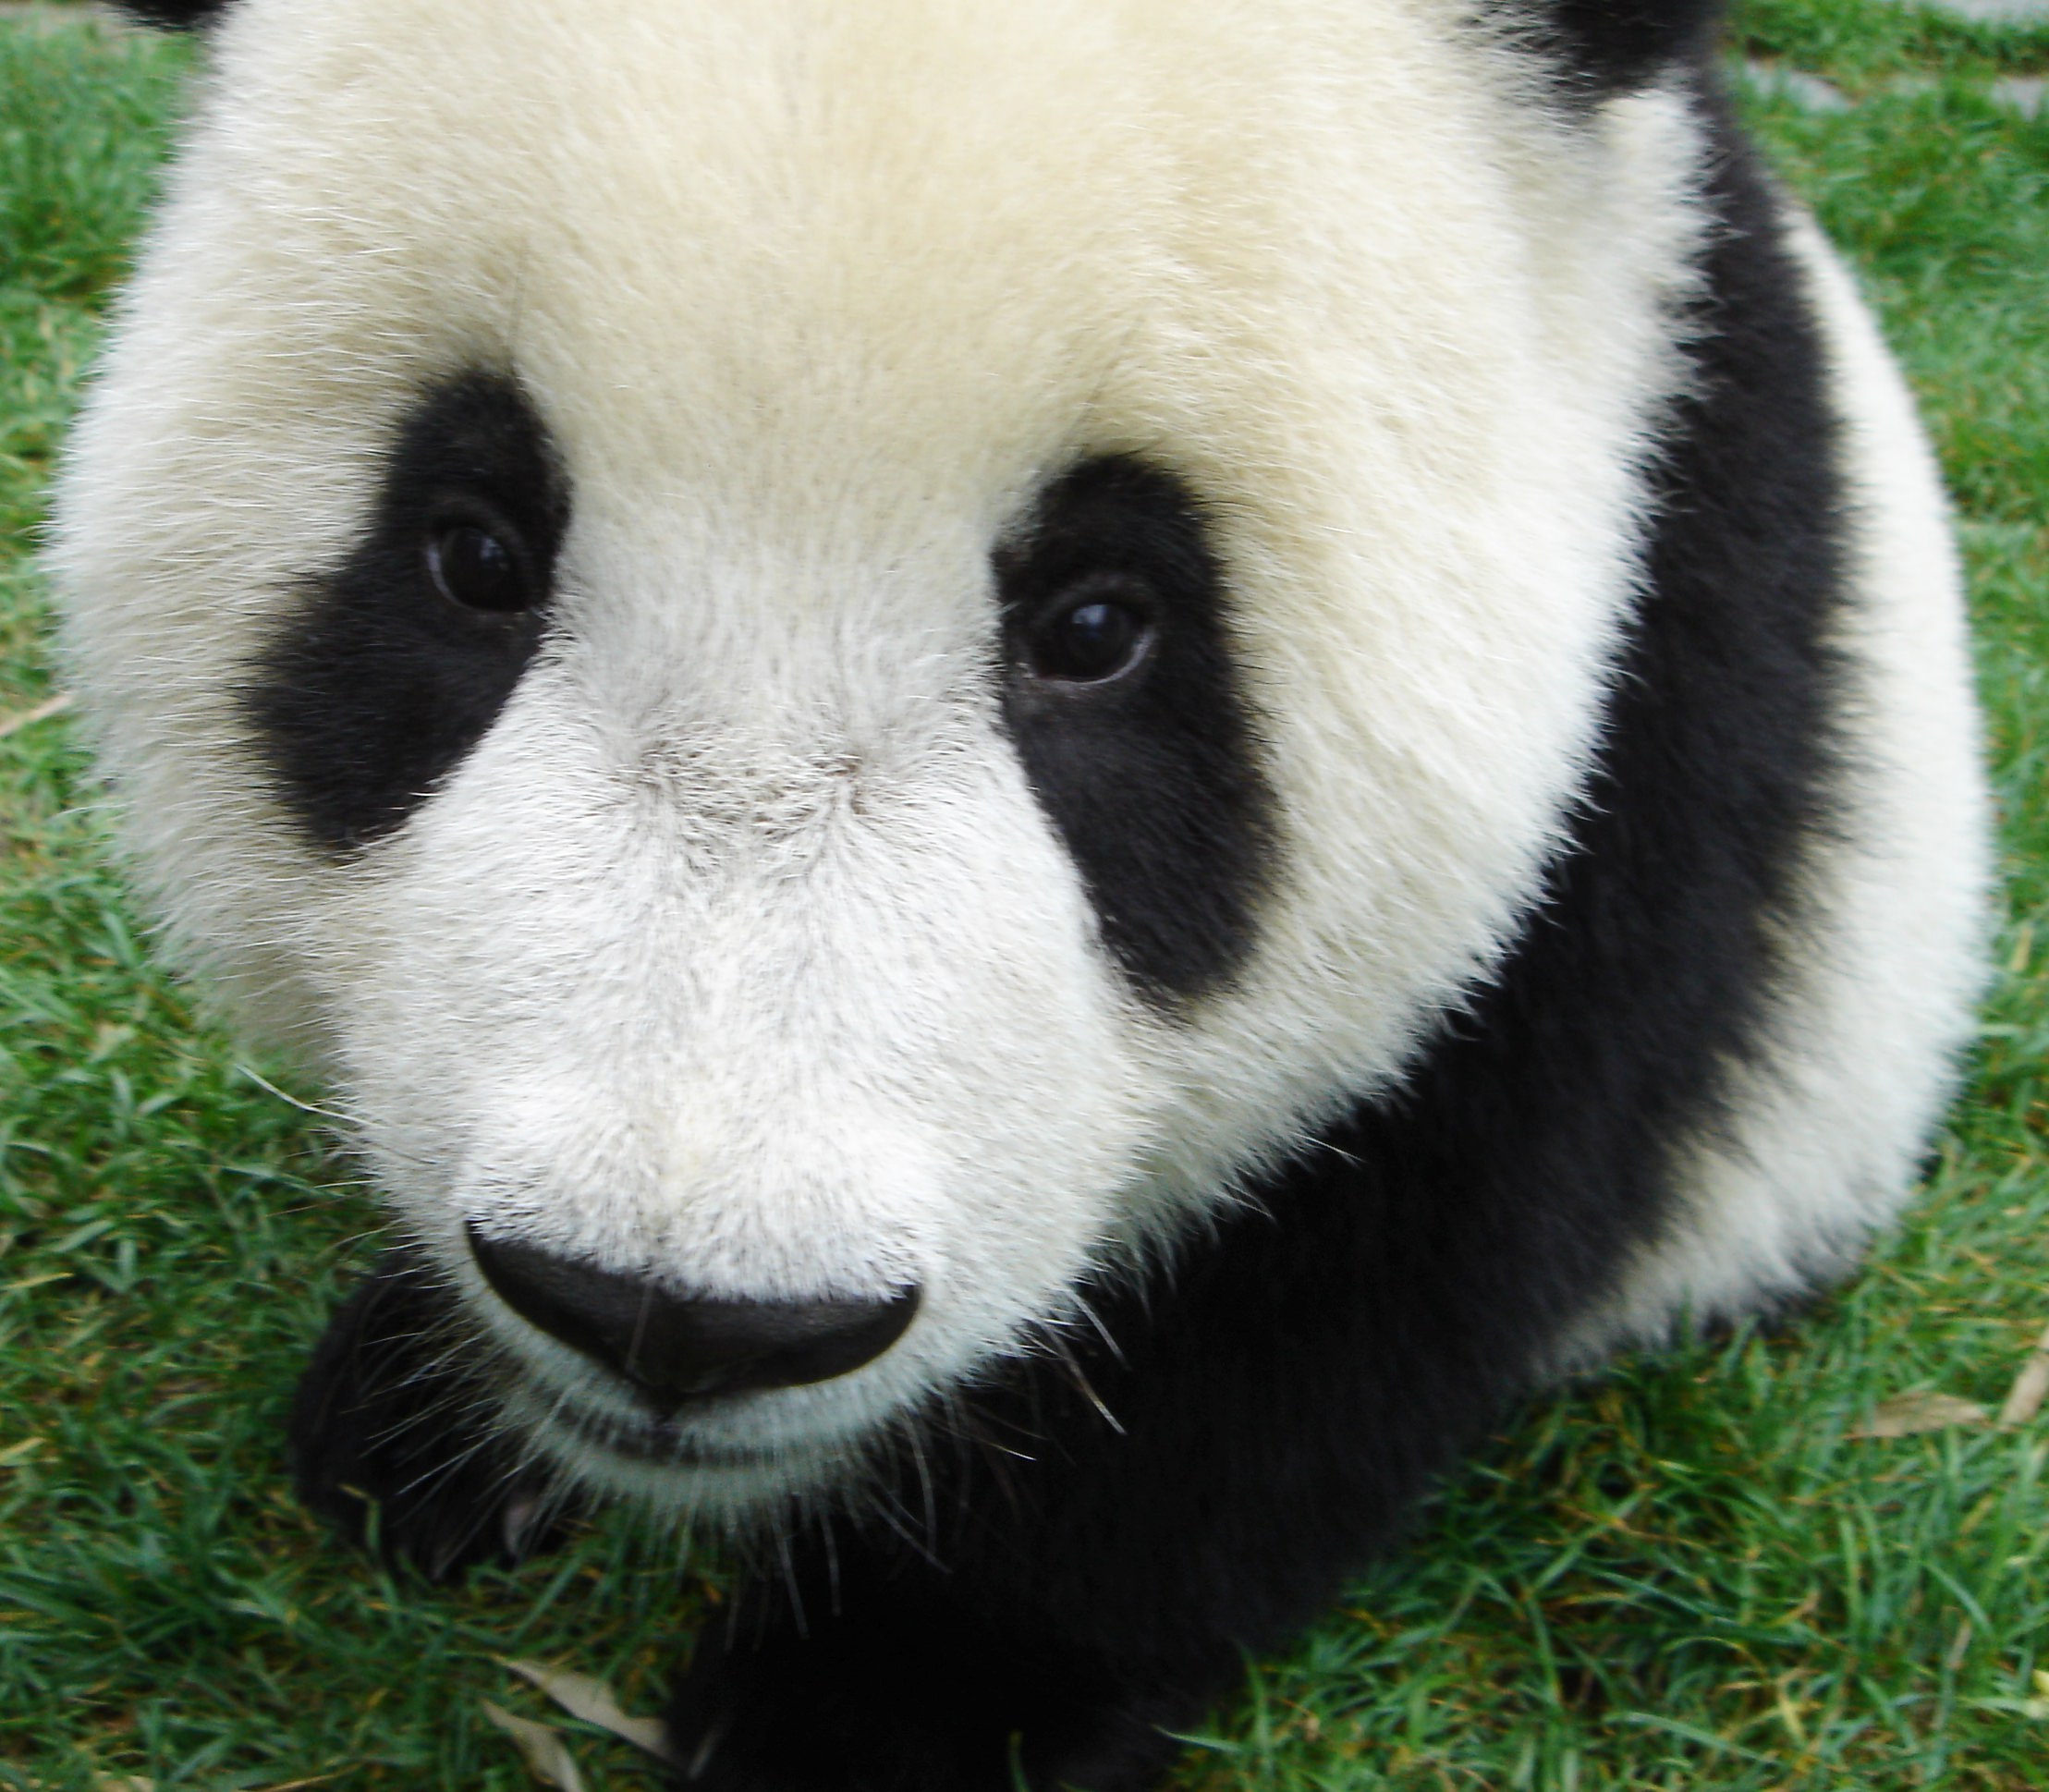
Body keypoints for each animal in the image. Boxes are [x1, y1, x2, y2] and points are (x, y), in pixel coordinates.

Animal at [51, 0, 1989, 1786]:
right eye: (472, 551)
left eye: (1100, 624)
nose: (676, 1317)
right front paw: (439, 1426)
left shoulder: (1661, 676)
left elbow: (1379, 1252)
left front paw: (887, 1702)